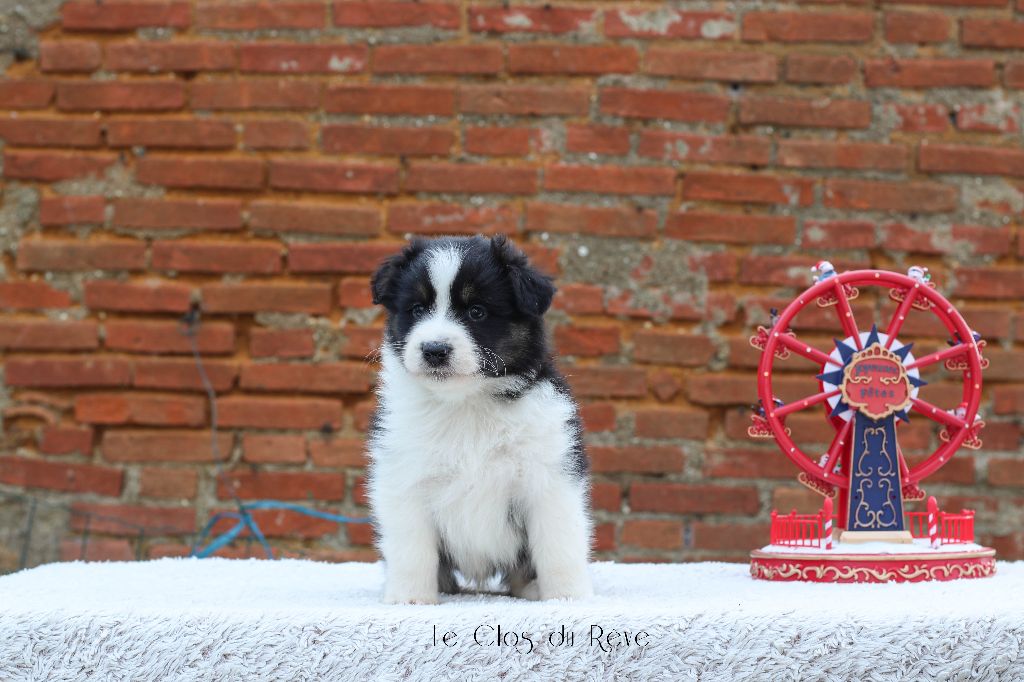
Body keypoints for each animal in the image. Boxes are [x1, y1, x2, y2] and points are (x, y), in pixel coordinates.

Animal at [366, 235, 593, 604]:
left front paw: (567, 597)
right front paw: (410, 598)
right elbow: (411, 549)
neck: (466, 404)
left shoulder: (550, 477)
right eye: (417, 310)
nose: (434, 349)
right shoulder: (403, 478)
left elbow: (559, 545)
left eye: (477, 311)